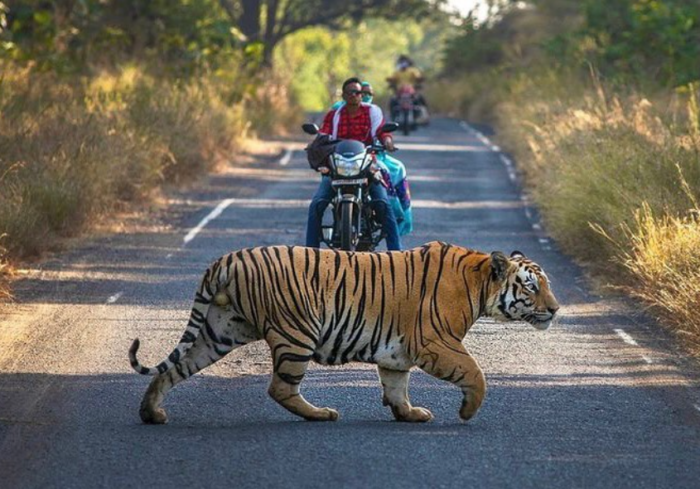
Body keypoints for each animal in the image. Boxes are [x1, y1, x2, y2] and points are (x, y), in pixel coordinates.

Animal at [129, 241, 559, 424]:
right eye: (531, 287)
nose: (555, 309)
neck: (480, 283)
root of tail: (226, 259)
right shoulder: (435, 342)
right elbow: (476, 373)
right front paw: (467, 411)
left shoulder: (398, 351)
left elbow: (396, 385)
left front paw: (408, 414)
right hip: (297, 332)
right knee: (280, 388)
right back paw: (321, 414)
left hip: (220, 331)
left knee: (174, 368)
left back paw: (152, 413)